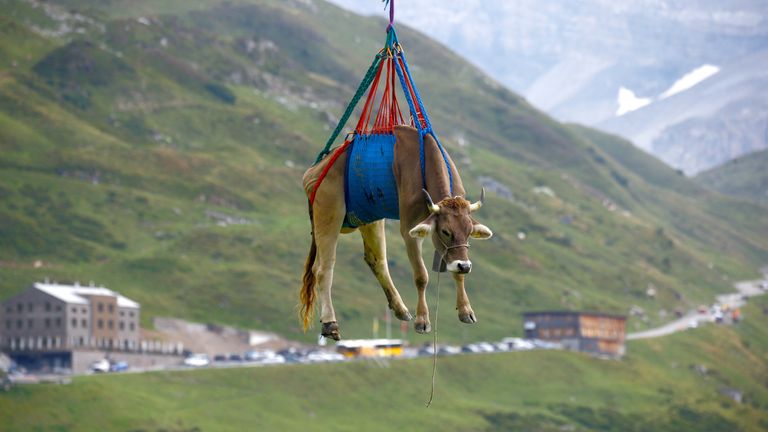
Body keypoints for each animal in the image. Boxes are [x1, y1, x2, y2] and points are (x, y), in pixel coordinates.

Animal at [300, 125, 492, 340]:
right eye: (445, 231)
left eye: (468, 232)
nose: (465, 265)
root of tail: (315, 170)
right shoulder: (409, 229)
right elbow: (421, 275)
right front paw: (422, 320)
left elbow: (457, 274)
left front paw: (466, 311)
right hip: (328, 212)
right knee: (323, 268)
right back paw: (330, 323)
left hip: (370, 217)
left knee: (377, 261)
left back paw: (401, 309)